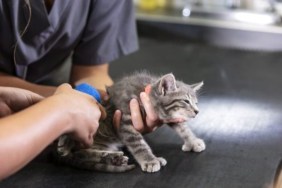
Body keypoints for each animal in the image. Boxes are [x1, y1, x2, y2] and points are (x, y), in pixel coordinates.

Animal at [54, 72, 205, 173]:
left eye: (196, 103)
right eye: (186, 101)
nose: (197, 111)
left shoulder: (167, 115)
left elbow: (183, 127)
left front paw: (193, 141)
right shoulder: (126, 119)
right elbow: (138, 144)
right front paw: (149, 160)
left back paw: (113, 158)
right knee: (79, 153)